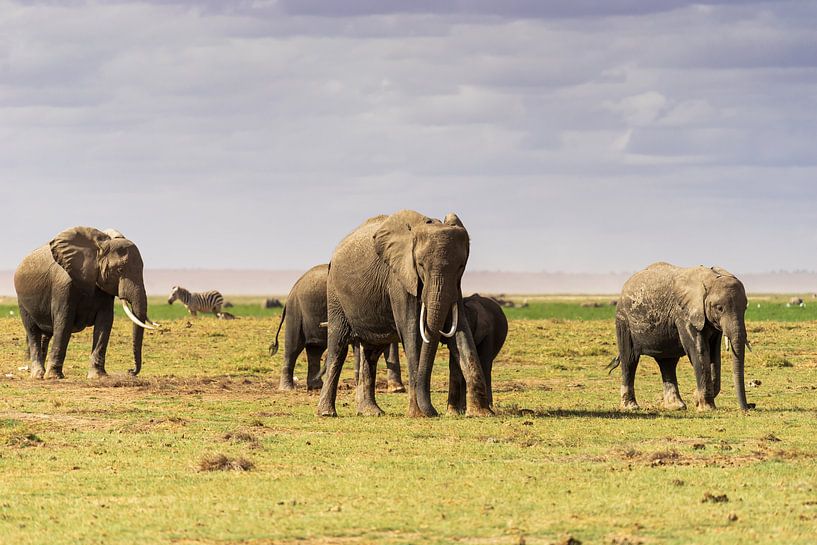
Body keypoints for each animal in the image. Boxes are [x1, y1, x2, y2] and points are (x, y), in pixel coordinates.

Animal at [13, 226, 156, 379]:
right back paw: (38, 375)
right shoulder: (63, 286)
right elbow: (63, 322)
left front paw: (98, 376)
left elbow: (105, 322)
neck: (98, 247)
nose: (130, 371)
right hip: (22, 301)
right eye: (120, 270)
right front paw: (54, 377)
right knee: (33, 331)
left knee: (46, 334)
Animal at [269, 264, 405, 392]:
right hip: (296, 311)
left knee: (315, 350)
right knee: (293, 347)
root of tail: (291, 292)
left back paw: (316, 386)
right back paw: (288, 388)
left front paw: (396, 389)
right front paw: (396, 389)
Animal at [317, 210, 492, 418]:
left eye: (460, 267)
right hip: (335, 293)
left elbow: (462, 335)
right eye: (421, 265)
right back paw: (327, 413)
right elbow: (412, 332)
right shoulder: (399, 278)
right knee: (338, 345)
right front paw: (420, 415)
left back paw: (371, 412)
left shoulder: (455, 286)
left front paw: (481, 413)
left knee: (371, 352)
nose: (435, 412)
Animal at [609, 262, 753, 411]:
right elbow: (700, 351)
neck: (709, 278)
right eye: (719, 308)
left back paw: (676, 406)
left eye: (745, 308)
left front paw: (696, 399)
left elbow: (714, 355)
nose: (748, 408)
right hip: (623, 319)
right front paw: (705, 407)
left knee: (668, 363)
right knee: (629, 359)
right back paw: (631, 407)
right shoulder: (684, 314)